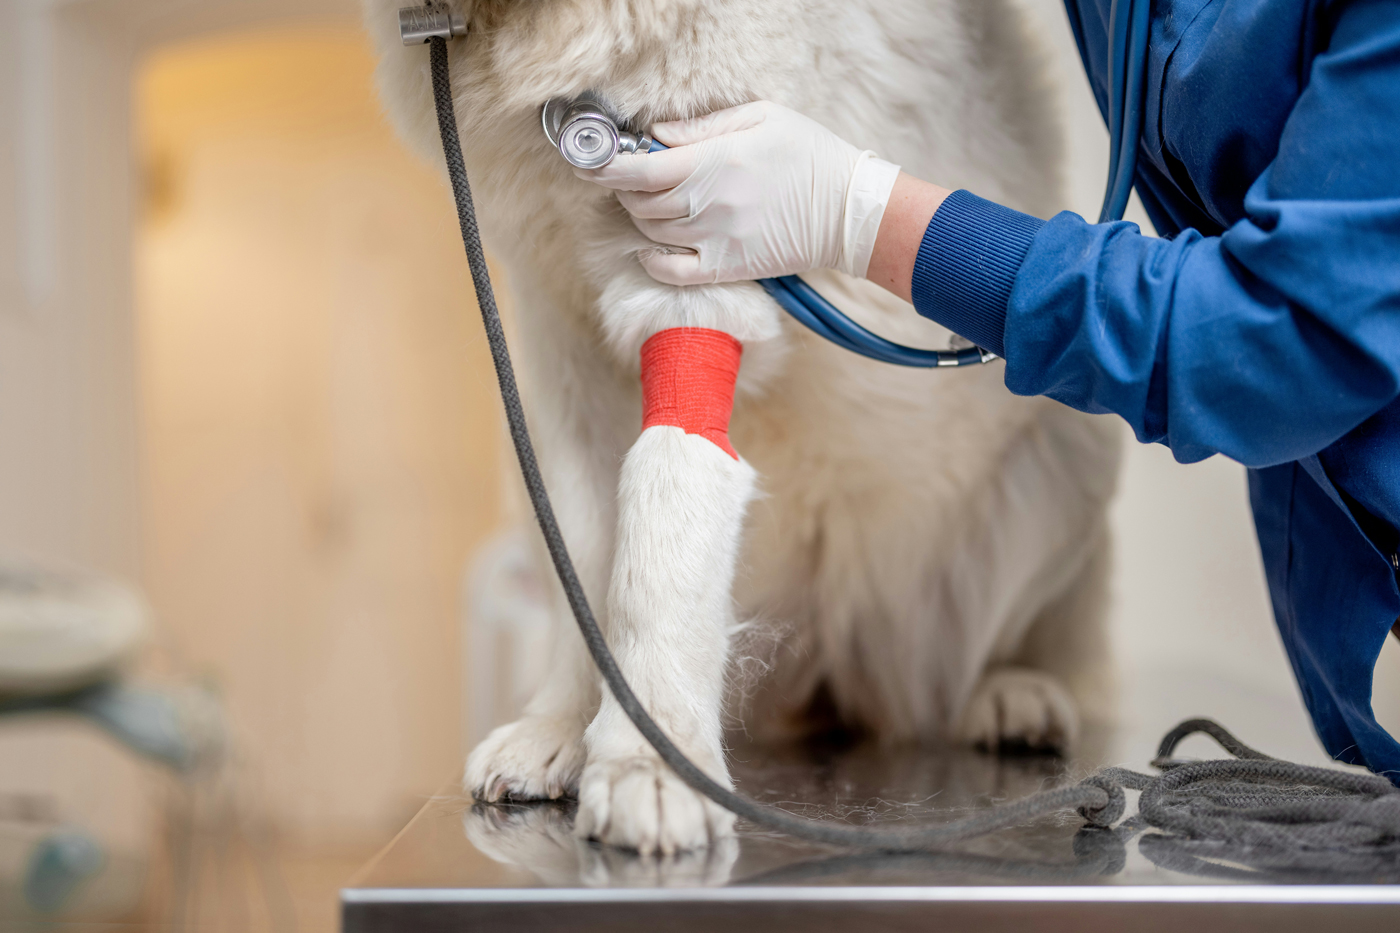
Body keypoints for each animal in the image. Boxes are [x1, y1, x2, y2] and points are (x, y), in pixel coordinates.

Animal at [366, 0, 1120, 851]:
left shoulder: (696, 251)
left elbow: (662, 513)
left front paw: (654, 761)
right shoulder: (558, 341)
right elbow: (581, 552)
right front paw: (563, 726)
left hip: (1072, 442)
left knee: (997, 659)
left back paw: (1010, 692)